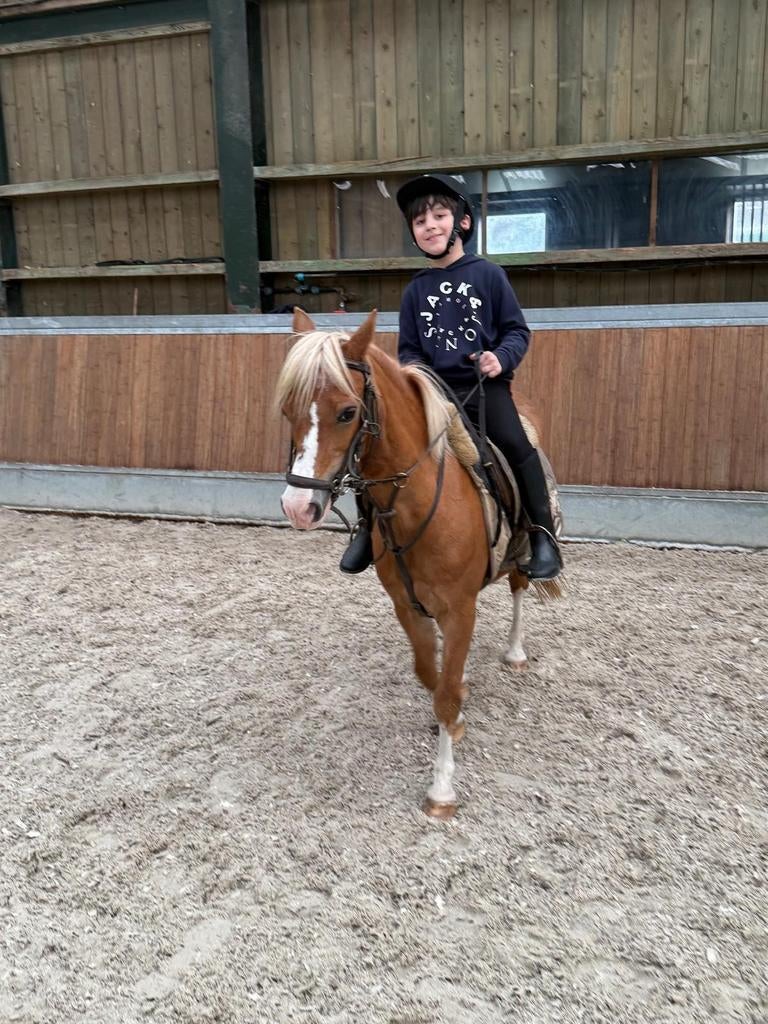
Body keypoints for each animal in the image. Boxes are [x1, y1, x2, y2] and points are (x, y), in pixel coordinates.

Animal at [277, 308, 562, 818]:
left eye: (347, 412)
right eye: (288, 410)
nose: (297, 507)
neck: (419, 504)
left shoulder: (460, 607)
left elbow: (444, 695)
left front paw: (442, 790)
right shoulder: (408, 606)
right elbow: (431, 676)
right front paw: (458, 710)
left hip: (522, 555)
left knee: (519, 590)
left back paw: (514, 652)